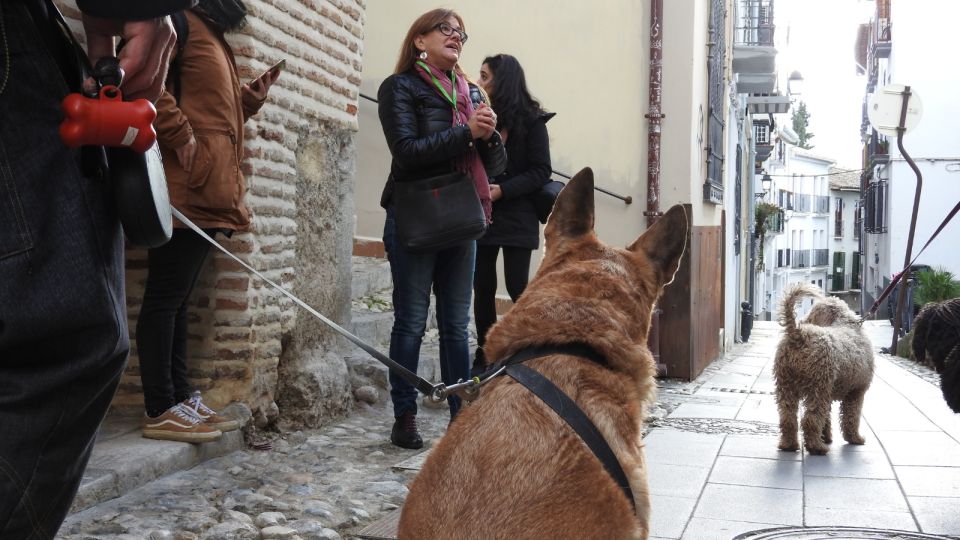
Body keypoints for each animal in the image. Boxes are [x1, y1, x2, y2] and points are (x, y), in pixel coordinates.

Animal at [776, 284, 872, 454]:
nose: (804, 320)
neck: (845, 322)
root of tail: (799, 335)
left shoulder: (830, 391)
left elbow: (826, 417)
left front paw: (826, 436)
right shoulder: (856, 392)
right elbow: (851, 417)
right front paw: (855, 438)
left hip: (787, 385)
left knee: (788, 418)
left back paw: (789, 445)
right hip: (818, 388)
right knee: (811, 420)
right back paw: (817, 447)